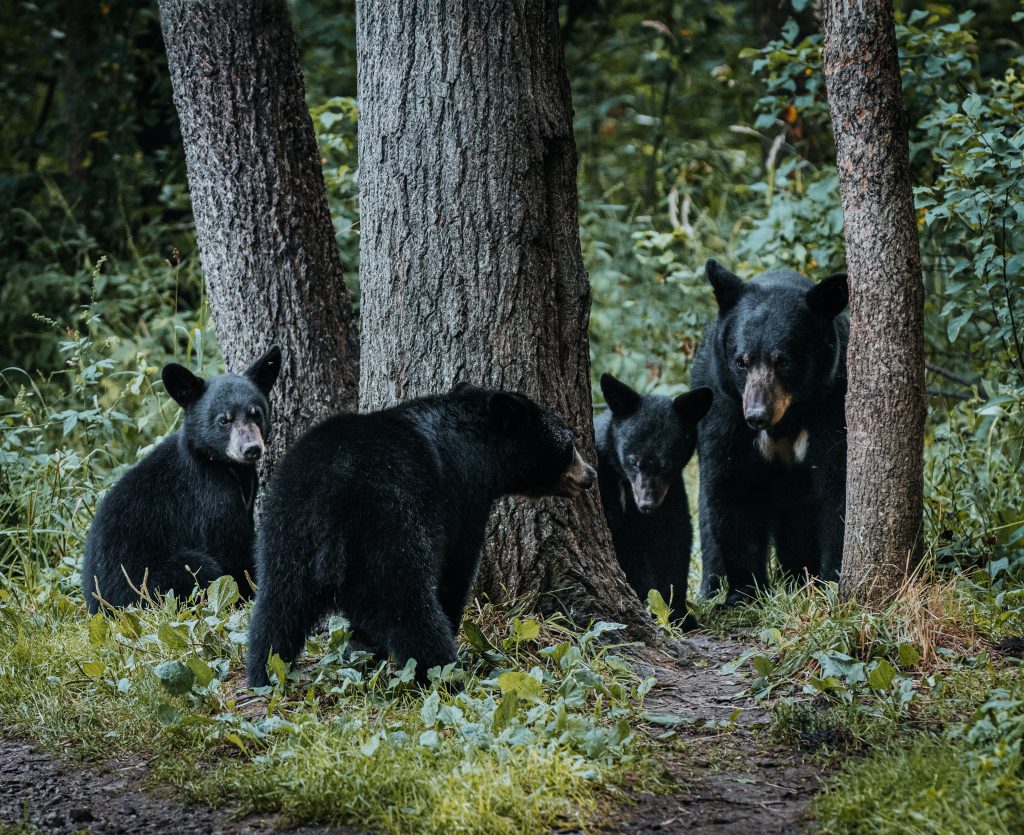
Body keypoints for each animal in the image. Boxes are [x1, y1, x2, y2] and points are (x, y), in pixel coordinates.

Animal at [80, 346, 280, 614]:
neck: (222, 464)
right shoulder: (209, 496)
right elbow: (229, 544)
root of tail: (99, 606)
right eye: (223, 420)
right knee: (197, 568)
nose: (251, 449)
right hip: (154, 582)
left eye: (255, 413)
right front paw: (252, 591)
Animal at [246, 383, 598, 684]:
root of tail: (330, 498)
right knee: (408, 607)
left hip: (286, 531)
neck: (474, 444)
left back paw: (265, 671)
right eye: (569, 444)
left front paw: (361, 650)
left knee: (276, 608)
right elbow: (457, 567)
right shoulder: (463, 497)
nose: (591, 474)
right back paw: (443, 674)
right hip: (389, 527)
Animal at [593, 372, 712, 627]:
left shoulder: (671, 492)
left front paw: (677, 613)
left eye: (666, 464)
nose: (646, 504)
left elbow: (673, 539)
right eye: (634, 461)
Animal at [692, 259, 851, 602]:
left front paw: (832, 579)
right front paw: (745, 592)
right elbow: (733, 487)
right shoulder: (725, 407)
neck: (786, 420)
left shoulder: (833, 402)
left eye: (784, 361)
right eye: (742, 361)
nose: (757, 416)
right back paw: (710, 589)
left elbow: (838, 486)